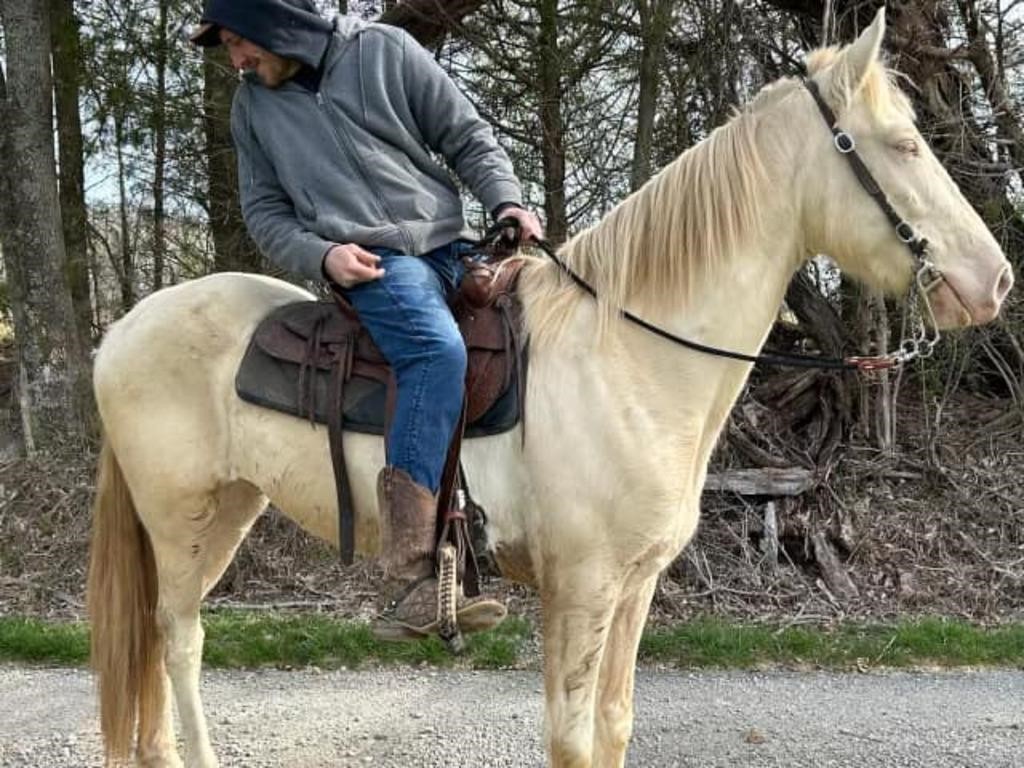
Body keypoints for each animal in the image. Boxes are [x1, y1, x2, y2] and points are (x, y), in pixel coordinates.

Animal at [86, 12, 1007, 768]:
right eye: (902, 144)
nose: (994, 281)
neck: (628, 359)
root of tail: (121, 333)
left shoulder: (633, 587)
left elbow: (613, 728)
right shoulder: (580, 588)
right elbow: (570, 739)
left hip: (231, 507)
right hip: (184, 521)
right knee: (176, 639)